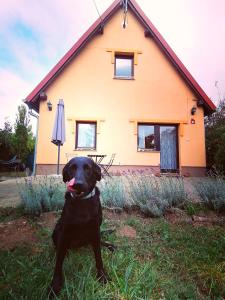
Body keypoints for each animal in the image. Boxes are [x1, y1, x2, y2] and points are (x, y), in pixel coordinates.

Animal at [49, 156, 114, 296]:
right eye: (72, 168)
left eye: (88, 169)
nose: (77, 184)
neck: (82, 203)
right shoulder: (65, 231)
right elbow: (58, 263)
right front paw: (55, 285)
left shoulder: (95, 229)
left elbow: (98, 257)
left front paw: (102, 276)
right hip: (57, 229)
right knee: (59, 247)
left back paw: (109, 245)